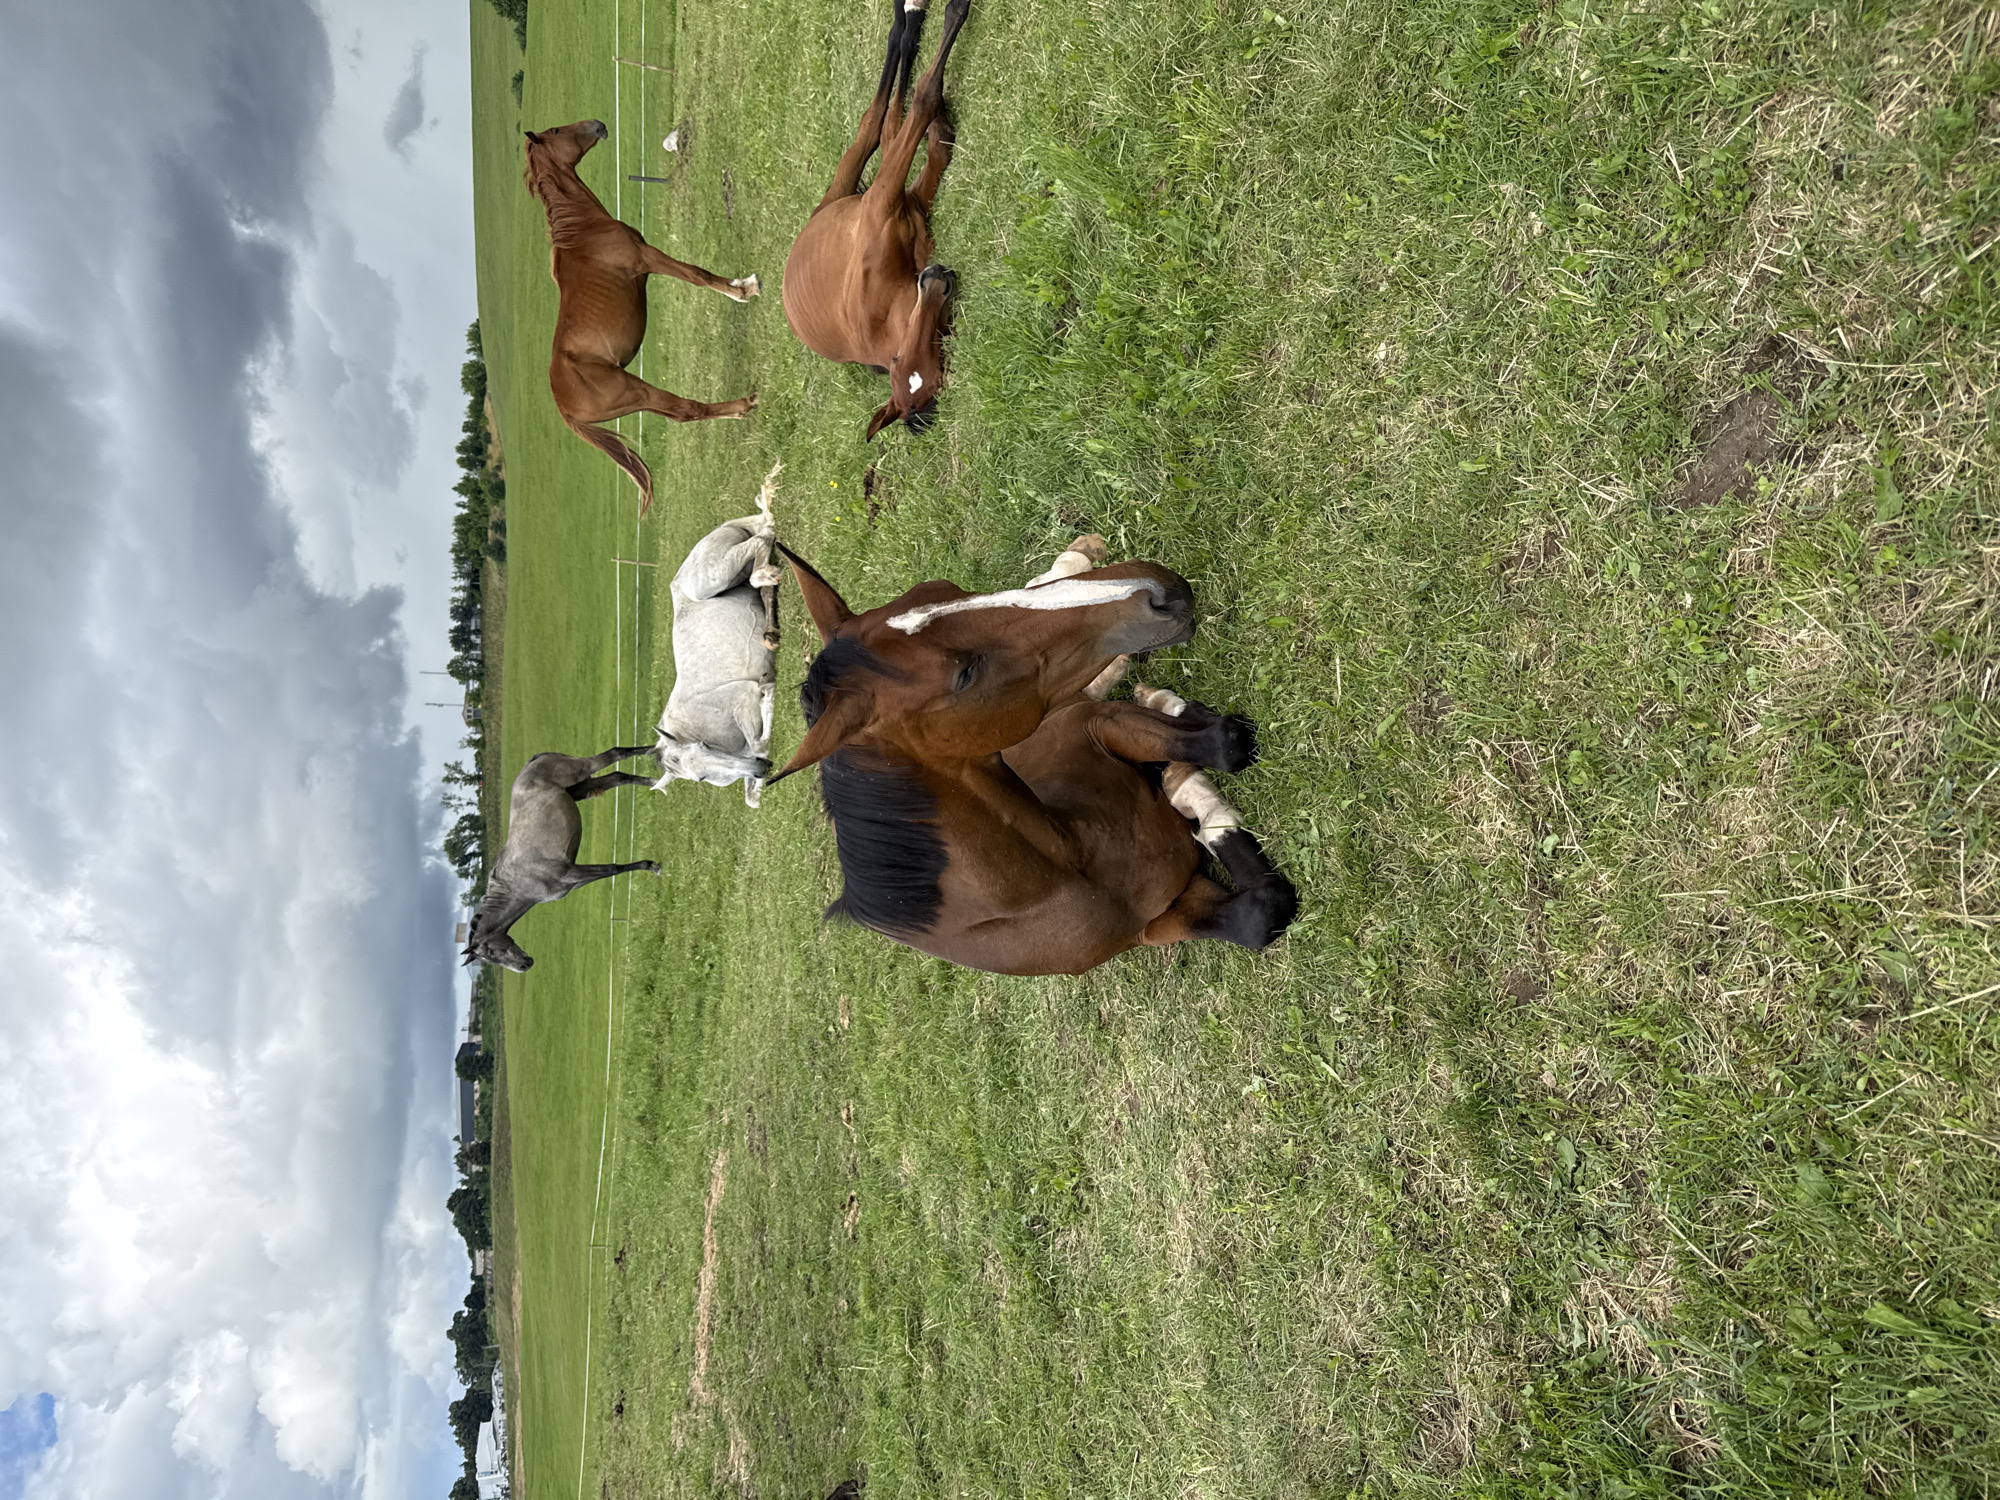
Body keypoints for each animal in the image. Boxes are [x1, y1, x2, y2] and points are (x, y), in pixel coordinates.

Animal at [461, 747, 662, 972]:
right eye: (490, 958)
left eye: (490, 952)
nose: (524, 966)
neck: (519, 883)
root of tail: (534, 761)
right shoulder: (574, 880)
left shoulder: (571, 871)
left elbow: (614, 868)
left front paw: (652, 866)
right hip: (581, 788)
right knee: (618, 777)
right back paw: (656, 780)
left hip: (582, 771)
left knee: (616, 754)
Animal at [523, 119, 760, 517]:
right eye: (556, 130)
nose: (598, 124)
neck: (584, 231)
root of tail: (563, 406)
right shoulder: (647, 259)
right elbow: (697, 274)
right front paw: (744, 290)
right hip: (637, 390)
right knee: (685, 410)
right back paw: (746, 403)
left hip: (637, 398)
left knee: (680, 414)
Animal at [652, 465, 785, 808]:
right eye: (699, 778)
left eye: (705, 746)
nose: (761, 769)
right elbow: (752, 798)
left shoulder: (743, 698)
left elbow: (760, 739)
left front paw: (769, 690)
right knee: (763, 537)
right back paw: (770, 629)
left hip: (712, 577)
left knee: (763, 538)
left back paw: (765, 578)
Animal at [764, 536, 1299, 975]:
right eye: (965, 675)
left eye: (940, 587)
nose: (1157, 590)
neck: (1072, 865)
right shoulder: (1155, 924)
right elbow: (1259, 913)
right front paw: (1190, 790)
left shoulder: (1092, 724)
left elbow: (1223, 744)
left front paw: (1189, 782)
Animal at [781, 0, 972, 441]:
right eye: (903, 361)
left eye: (939, 339)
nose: (936, 280)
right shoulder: (887, 200)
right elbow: (924, 97)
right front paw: (954, 11)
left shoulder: (909, 203)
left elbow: (930, 137)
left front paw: (938, 123)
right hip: (856, 183)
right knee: (875, 122)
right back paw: (910, 20)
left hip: (847, 188)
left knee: (882, 124)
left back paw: (907, 22)